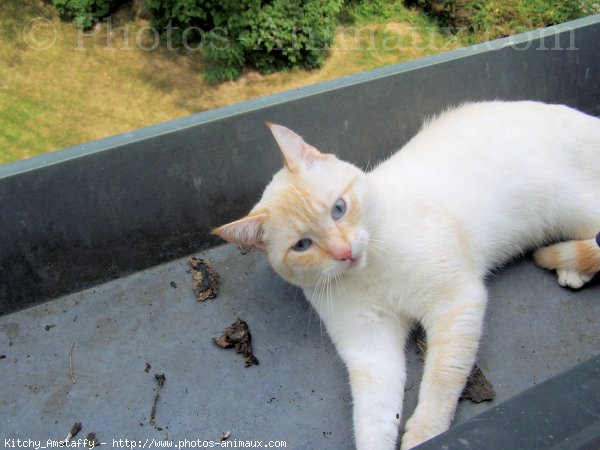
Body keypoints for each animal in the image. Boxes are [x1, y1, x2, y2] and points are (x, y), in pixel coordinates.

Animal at [211, 102, 600, 450]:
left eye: (339, 208)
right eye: (302, 245)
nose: (344, 252)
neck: (370, 272)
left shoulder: (457, 301)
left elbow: (443, 375)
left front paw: (426, 431)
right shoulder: (370, 347)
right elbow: (373, 415)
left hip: (573, 208)